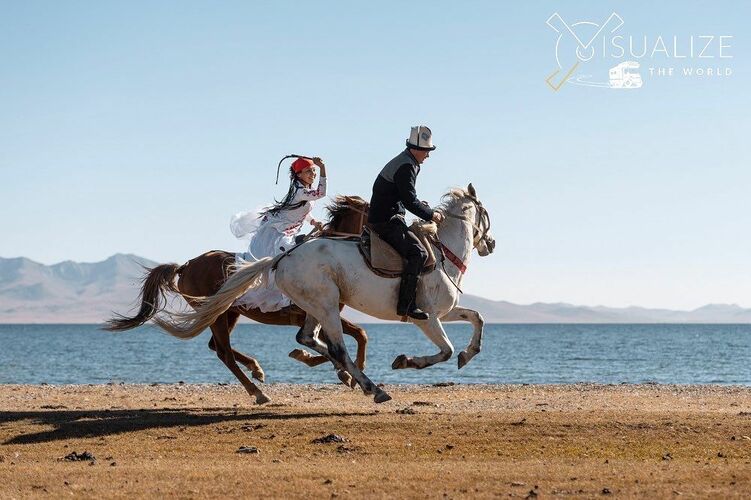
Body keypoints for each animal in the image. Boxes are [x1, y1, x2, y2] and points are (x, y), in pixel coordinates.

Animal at [104, 195, 370, 404]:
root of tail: (186, 266)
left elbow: (352, 337)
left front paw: (343, 372)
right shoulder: (316, 313)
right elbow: (354, 337)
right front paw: (349, 373)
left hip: (227, 312)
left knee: (216, 347)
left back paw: (256, 370)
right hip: (217, 315)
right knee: (224, 353)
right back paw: (259, 393)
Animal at [152, 184, 495, 404]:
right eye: (485, 213)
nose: (490, 244)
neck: (442, 254)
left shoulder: (444, 313)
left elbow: (476, 318)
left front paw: (469, 353)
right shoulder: (426, 318)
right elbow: (444, 350)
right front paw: (404, 361)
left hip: (295, 309)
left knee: (306, 339)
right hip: (319, 306)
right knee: (330, 348)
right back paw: (369, 388)